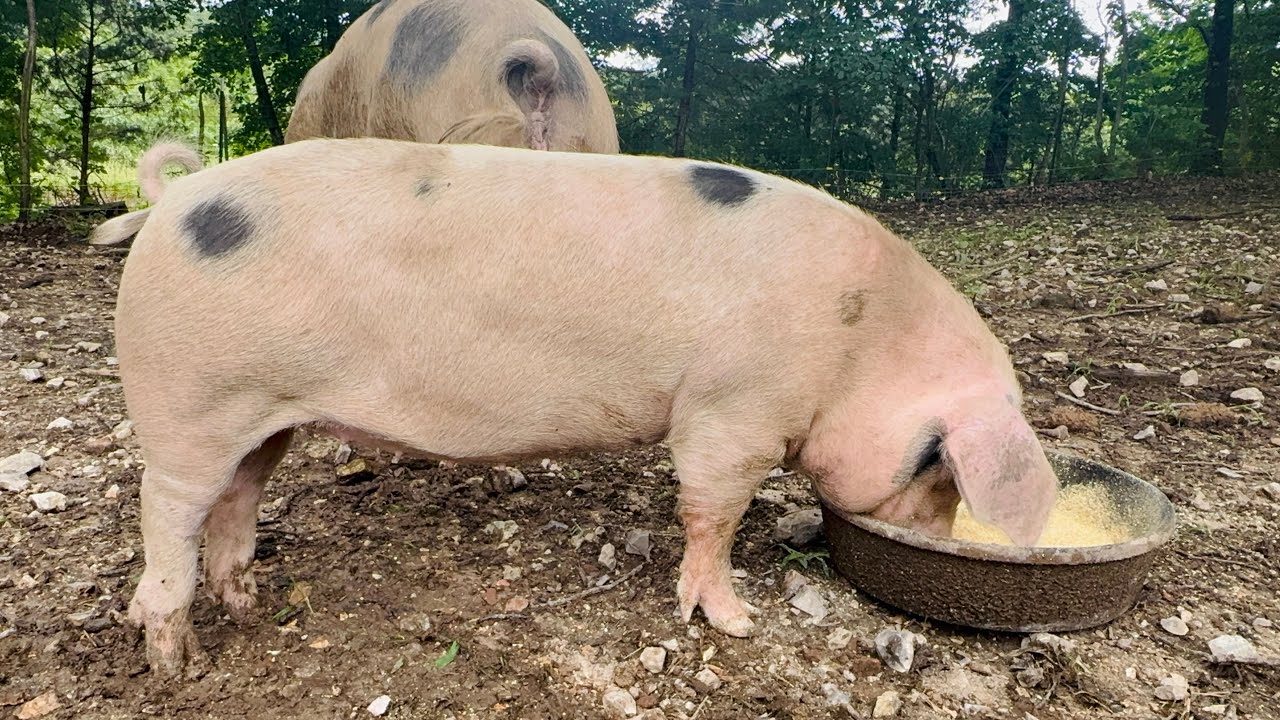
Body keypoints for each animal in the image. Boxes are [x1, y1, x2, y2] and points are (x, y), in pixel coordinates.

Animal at [91, 138, 1058, 679]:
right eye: (937, 464)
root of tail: (176, 199)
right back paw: (175, 660)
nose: (935, 538)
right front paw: (737, 623)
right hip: (188, 402)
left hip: (266, 413)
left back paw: (247, 605)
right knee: (166, 508)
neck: (860, 343)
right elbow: (712, 512)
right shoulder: (731, 411)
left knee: (238, 496)